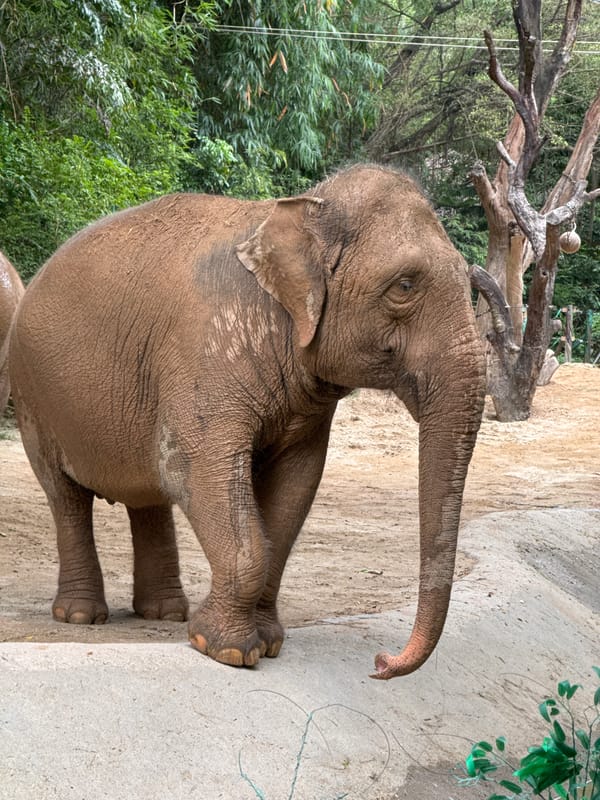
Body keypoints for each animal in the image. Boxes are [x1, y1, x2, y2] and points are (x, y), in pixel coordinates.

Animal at [9, 164, 486, 680]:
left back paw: (164, 614)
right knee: (66, 496)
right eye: (404, 286)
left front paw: (268, 643)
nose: (379, 662)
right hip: (32, 396)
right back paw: (81, 616)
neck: (296, 212)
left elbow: (296, 483)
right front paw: (226, 650)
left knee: (146, 494)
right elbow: (196, 471)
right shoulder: (203, 358)